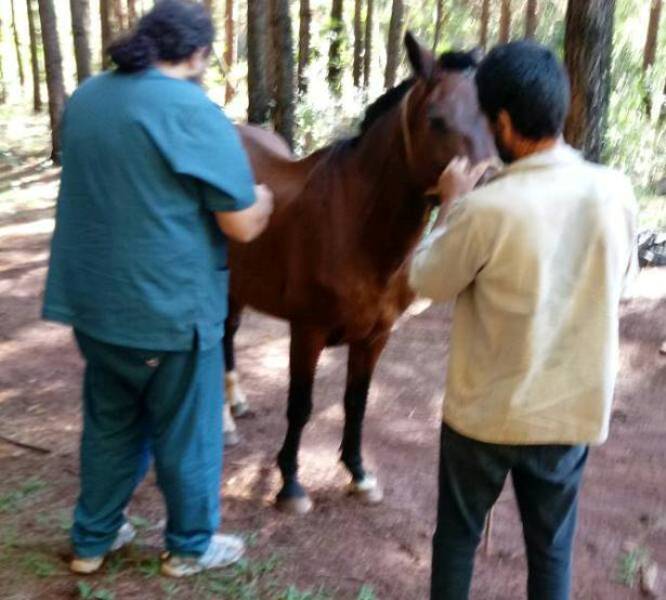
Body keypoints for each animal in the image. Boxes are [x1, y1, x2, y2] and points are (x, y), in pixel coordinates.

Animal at [223, 32, 496, 514]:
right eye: (436, 118)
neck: (356, 225)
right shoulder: (307, 331)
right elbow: (301, 405)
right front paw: (290, 483)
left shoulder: (375, 336)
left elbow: (357, 402)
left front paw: (359, 473)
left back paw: (237, 405)